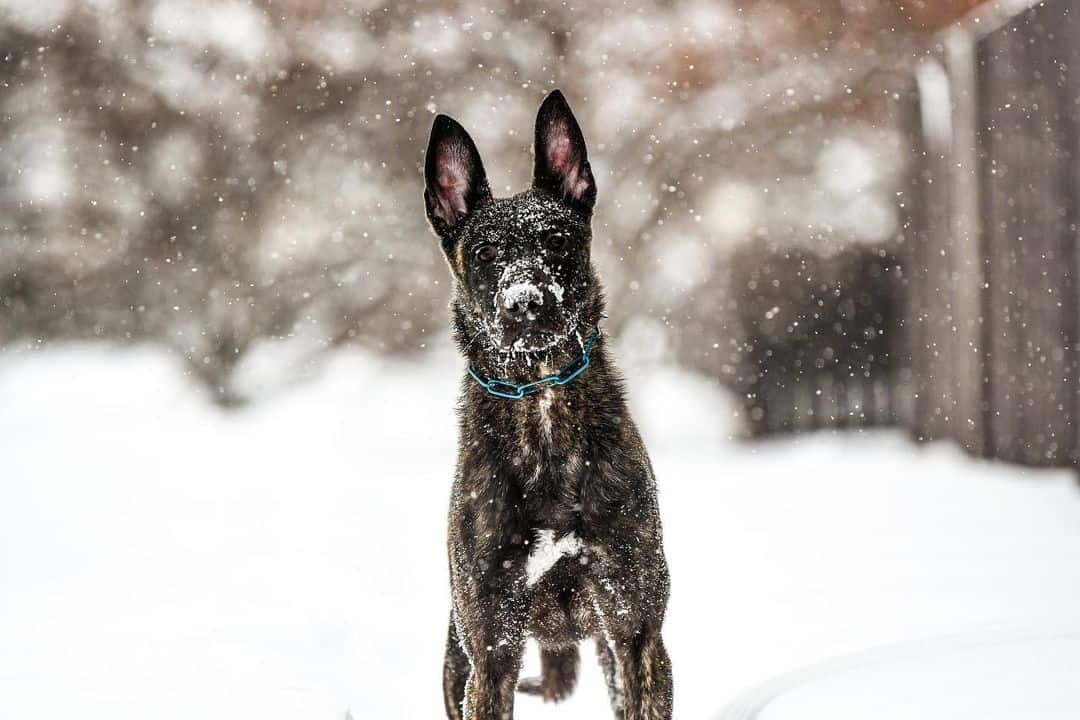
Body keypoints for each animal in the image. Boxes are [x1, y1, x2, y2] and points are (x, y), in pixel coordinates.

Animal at [423, 90, 669, 720]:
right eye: (486, 252)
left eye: (557, 241)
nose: (526, 303)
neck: (541, 401)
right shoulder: (491, 651)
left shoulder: (636, 631)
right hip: (456, 655)